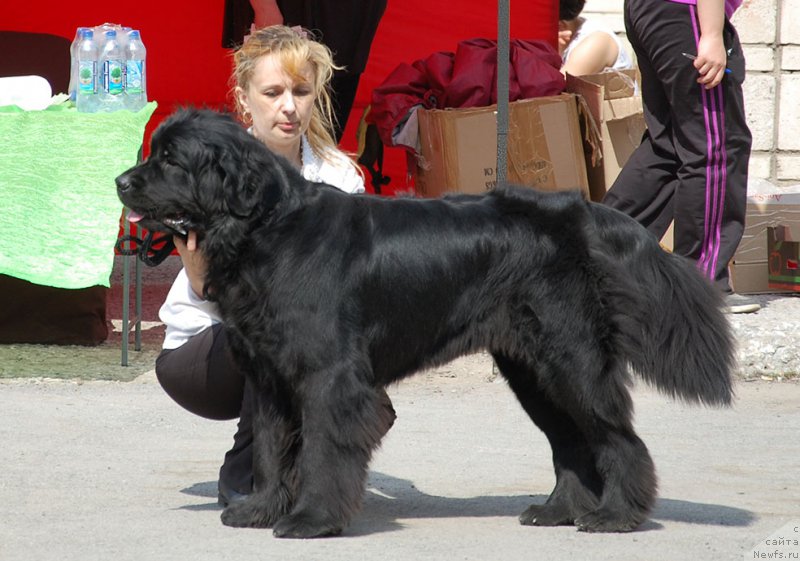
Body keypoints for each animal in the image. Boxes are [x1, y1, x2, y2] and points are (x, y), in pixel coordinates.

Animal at [115, 108, 736, 540]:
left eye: (170, 161)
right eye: (153, 153)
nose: (121, 181)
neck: (266, 228)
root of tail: (578, 211)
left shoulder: (330, 378)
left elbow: (320, 450)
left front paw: (312, 520)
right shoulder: (268, 378)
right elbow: (270, 450)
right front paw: (261, 509)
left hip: (570, 360)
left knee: (618, 438)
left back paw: (616, 516)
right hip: (532, 370)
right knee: (571, 442)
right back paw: (557, 511)